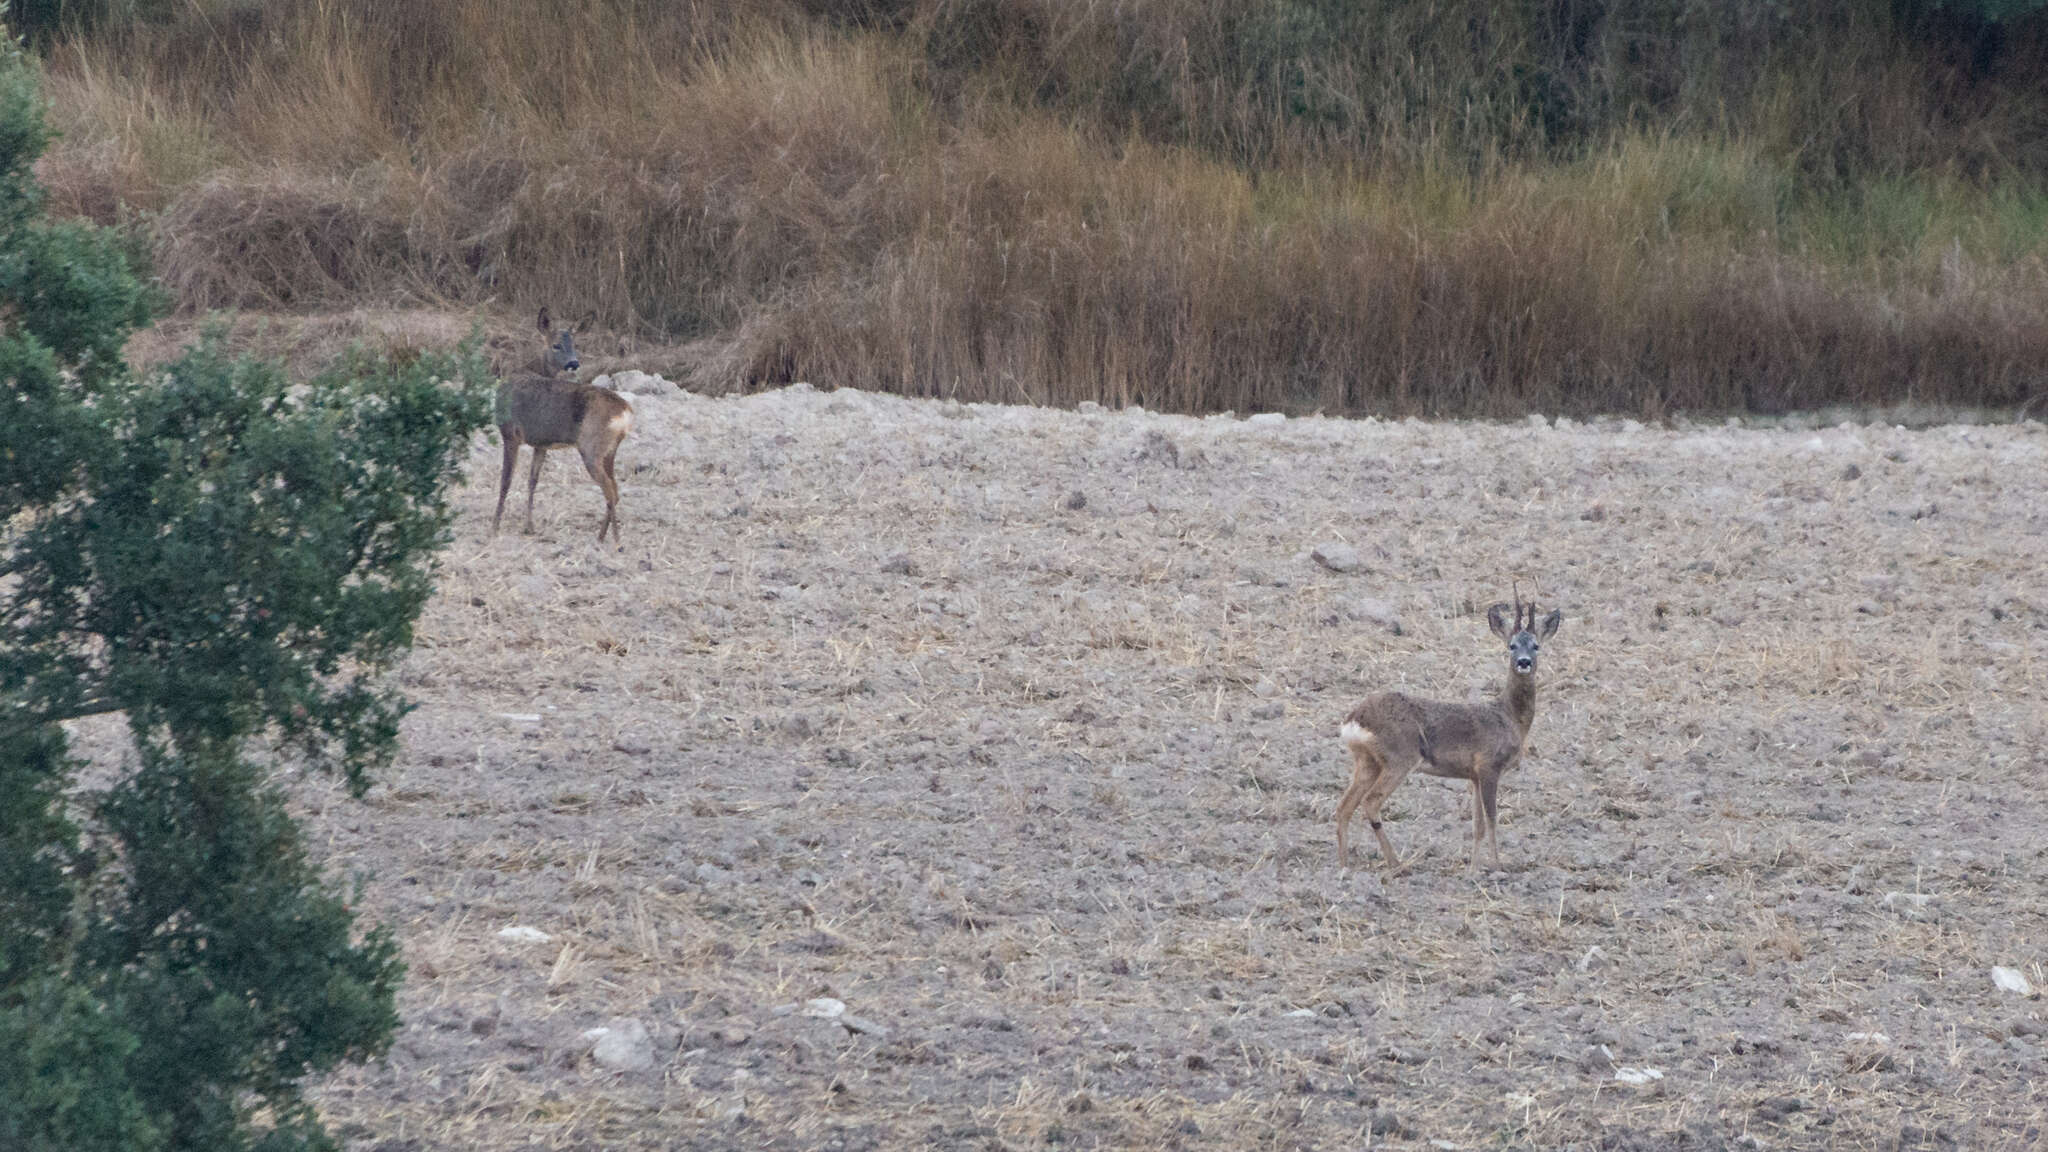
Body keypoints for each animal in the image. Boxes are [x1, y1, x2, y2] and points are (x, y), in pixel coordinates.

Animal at [489, 303, 630, 541]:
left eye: (575, 344)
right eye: (556, 345)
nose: (574, 363)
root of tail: (624, 412)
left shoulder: (510, 433)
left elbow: (505, 480)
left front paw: (495, 527)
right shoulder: (541, 444)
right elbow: (532, 481)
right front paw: (529, 526)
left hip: (591, 447)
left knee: (610, 491)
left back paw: (615, 542)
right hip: (609, 451)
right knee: (615, 489)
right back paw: (601, 537)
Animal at [1335, 590, 1556, 869]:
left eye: (1536, 645)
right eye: (1512, 645)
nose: (1524, 662)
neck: (1509, 717)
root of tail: (1354, 719)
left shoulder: (1473, 775)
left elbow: (1477, 825)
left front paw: (1473, 869)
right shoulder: (1489, 766)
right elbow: (1492, 819)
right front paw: (1497, 866)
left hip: (1367, 761)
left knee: (1344, 806)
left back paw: (1345, 864)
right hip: (1400, 757)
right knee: (1370, 802)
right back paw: (1396, 863)